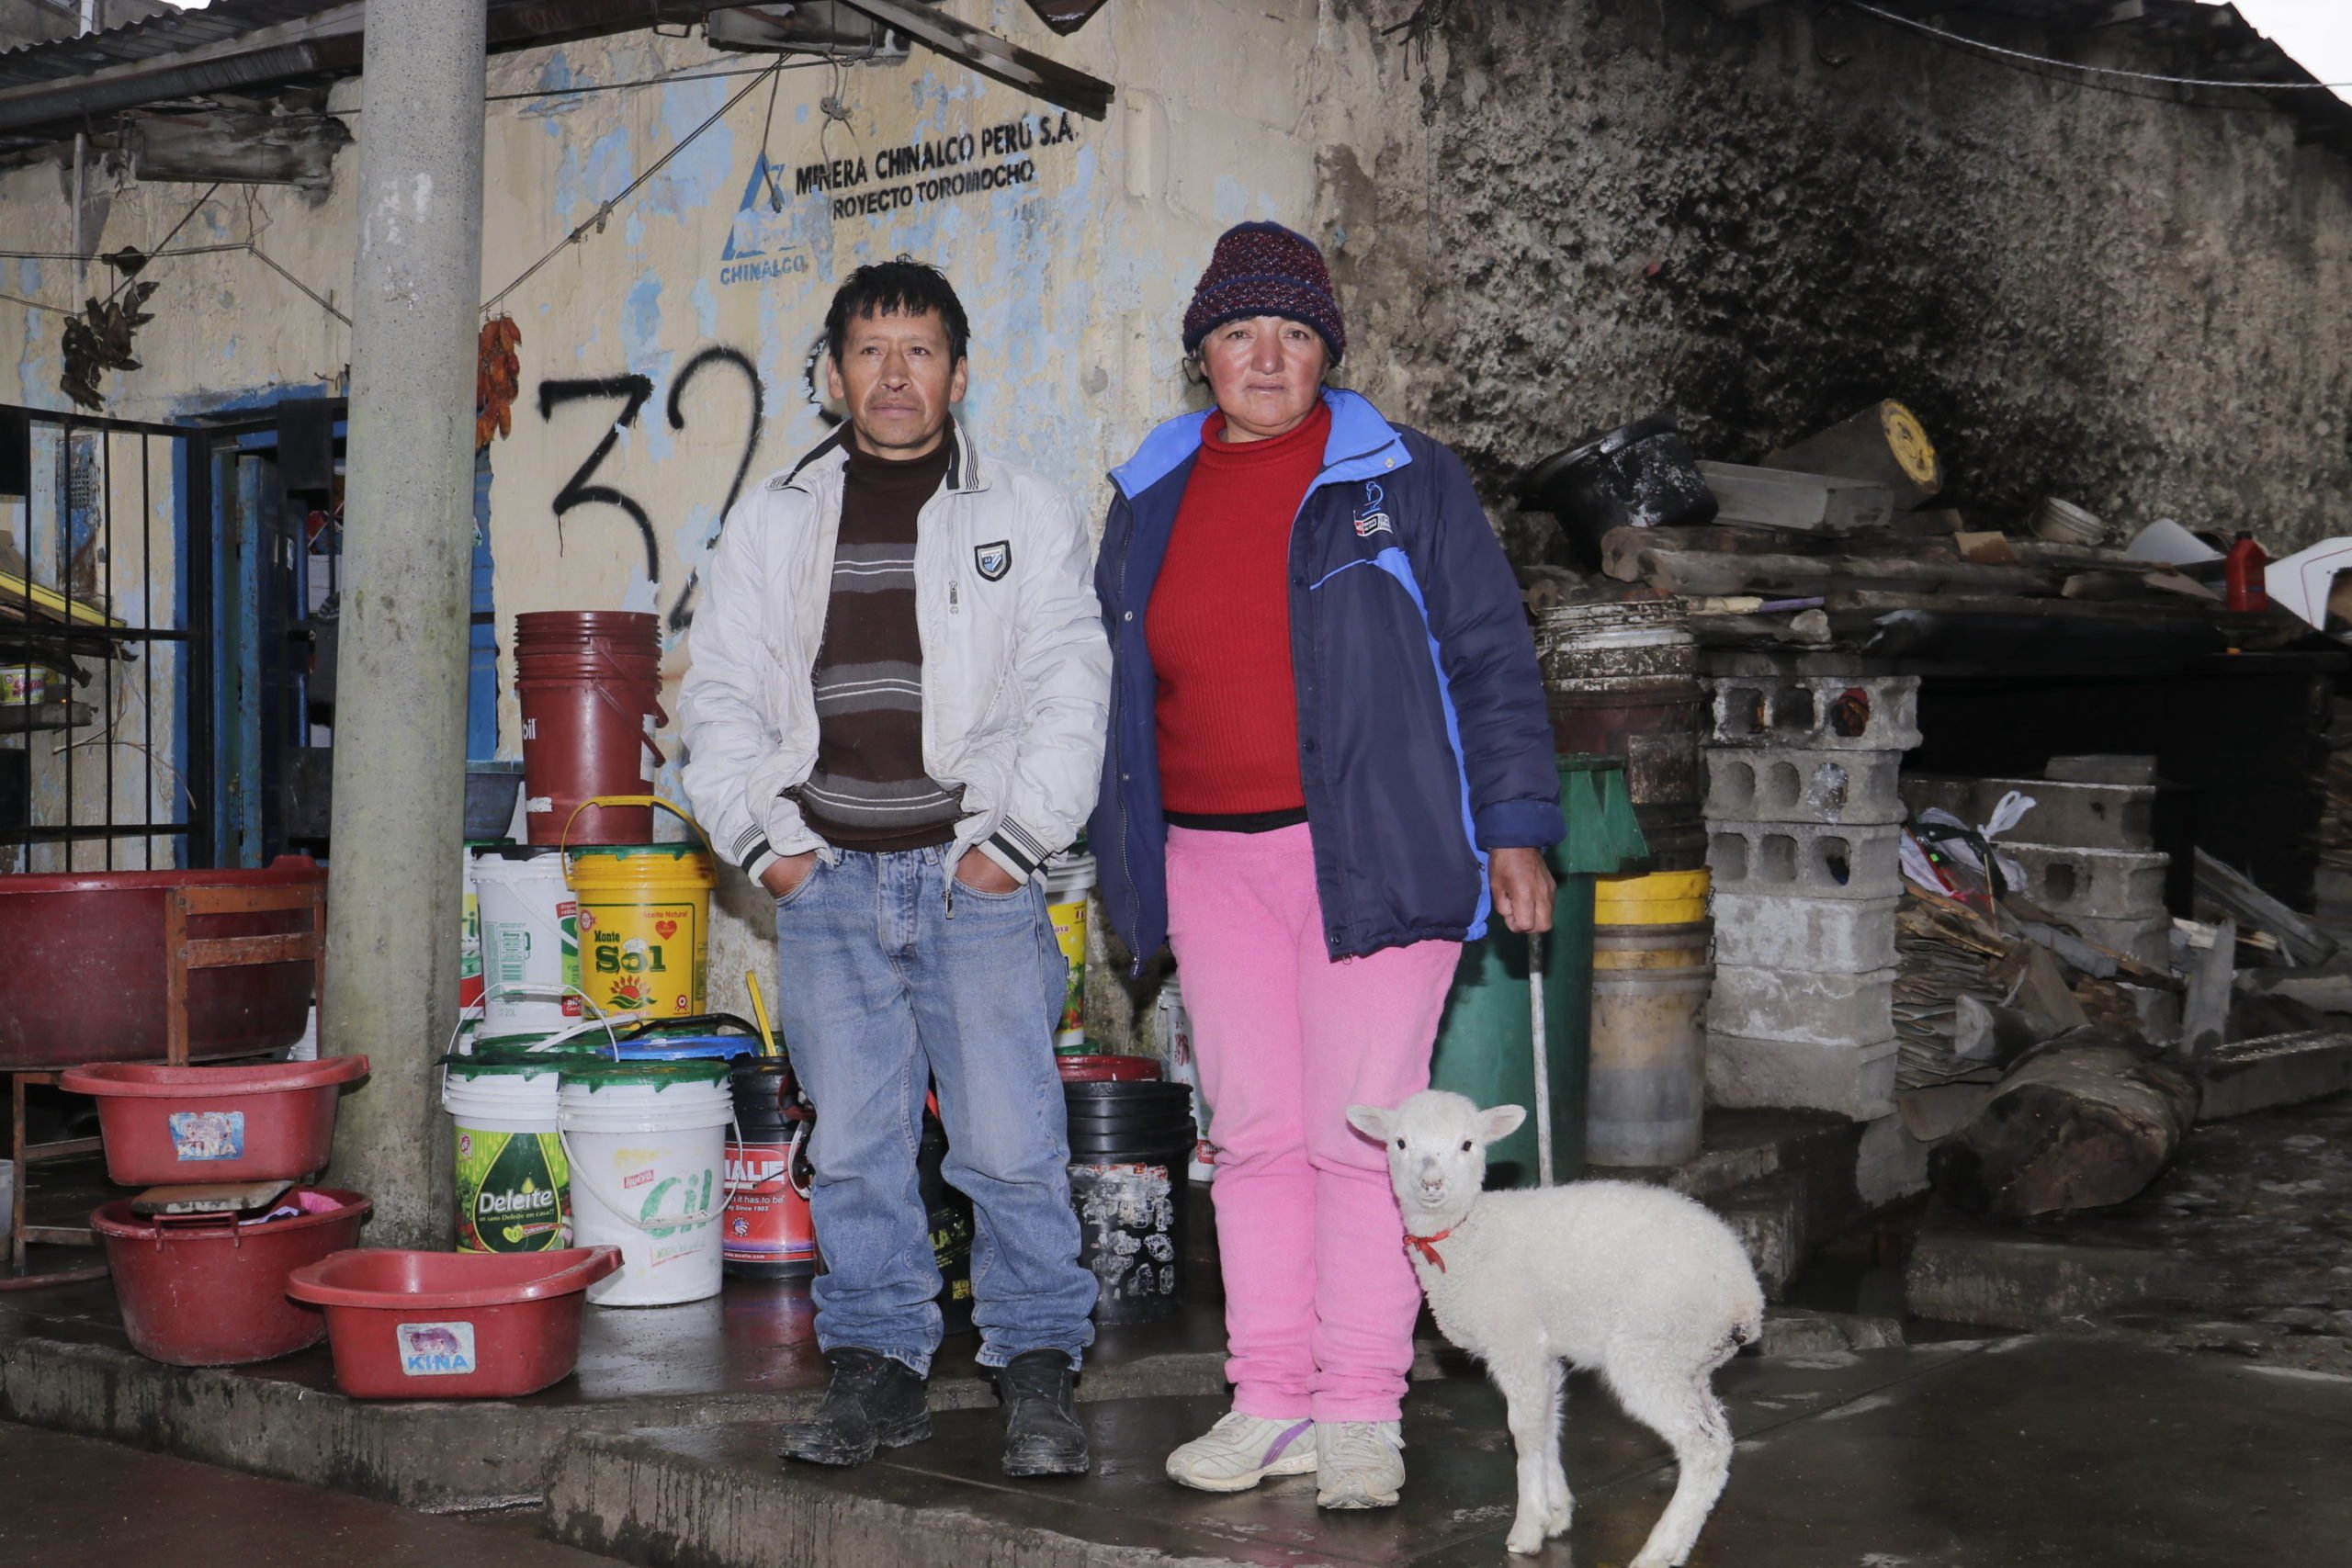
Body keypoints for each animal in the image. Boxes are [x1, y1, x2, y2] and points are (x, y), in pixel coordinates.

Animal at [1354, 1090, 1758, 1568]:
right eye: (1400, 1142)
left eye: (1468, 1144)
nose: (1431, 1184)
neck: (1469, 1236)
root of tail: (1745, 1299)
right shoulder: (1542, 1349)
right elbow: (1549, 1423)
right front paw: (1557, 1511)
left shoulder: (1516, 1341)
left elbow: (1525, 1433)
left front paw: (1528, 1529)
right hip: (1688, 1360)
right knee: (1720, 1440)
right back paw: (1677, 1545)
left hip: (1651, 1350)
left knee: (1702, 1448)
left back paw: (1656, 1551)